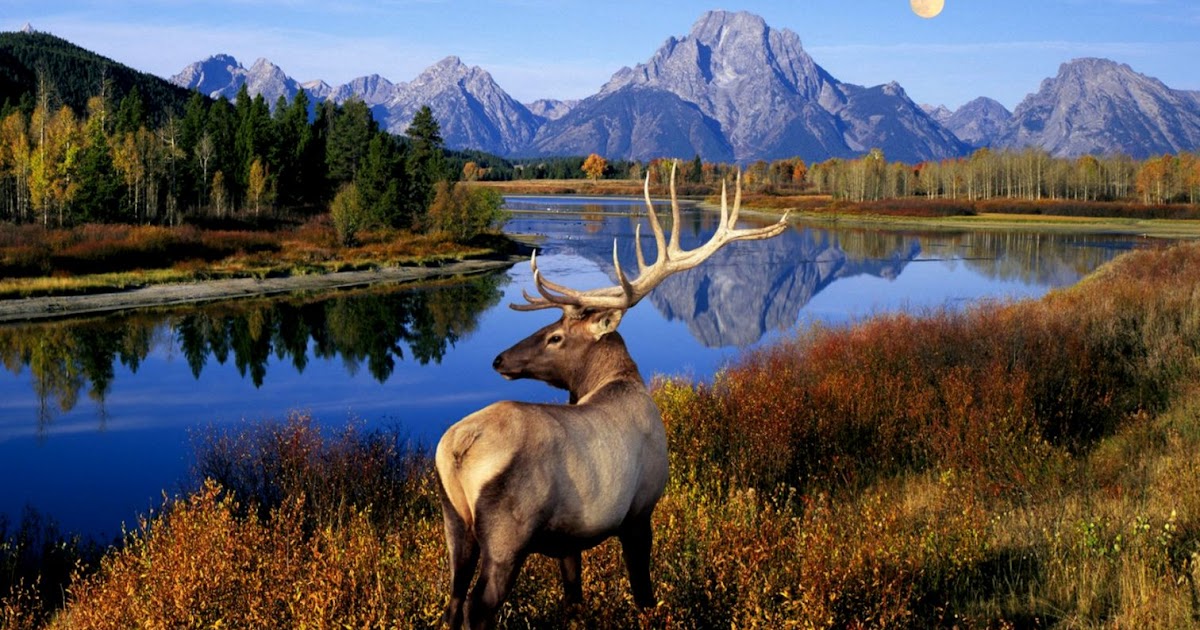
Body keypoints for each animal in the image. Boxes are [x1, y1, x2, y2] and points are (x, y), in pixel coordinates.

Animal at [434, 162, 788, 629]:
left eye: (556, 336)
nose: (499, 359)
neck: (619, 381)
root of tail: (458, 448)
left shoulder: (569, 539)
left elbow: (574, 594)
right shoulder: (640, 510)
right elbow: (643, 591)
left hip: (455, 523)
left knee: (454, 600)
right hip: (507, 535)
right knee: (479, 606)